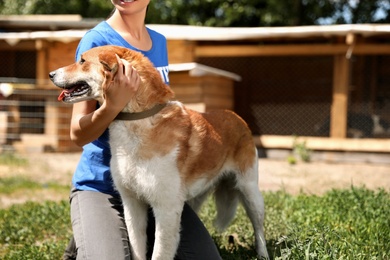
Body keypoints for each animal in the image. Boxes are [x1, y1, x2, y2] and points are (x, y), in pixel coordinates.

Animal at [49, 45, 268, 260]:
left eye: (82, 61)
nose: (51, 74)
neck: (138, 121)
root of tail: (237, 117)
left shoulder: (166, 209)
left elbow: (160, 252)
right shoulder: (133, 204)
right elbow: (137, 249)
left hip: (250, 191)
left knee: (259, 228)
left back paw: (263, 254)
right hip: (194, 199)